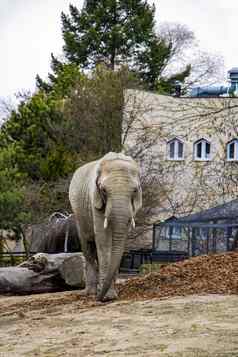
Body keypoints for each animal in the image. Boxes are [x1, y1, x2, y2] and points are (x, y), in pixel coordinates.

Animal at [69, 151, 142, 300]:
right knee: (88, 247)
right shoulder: (94, 200)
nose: (98, 299)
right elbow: (103, 239)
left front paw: (111, 295)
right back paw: (91, 292)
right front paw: (107, 297)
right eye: (103, 190)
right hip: (79, 215)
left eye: (135, 191)